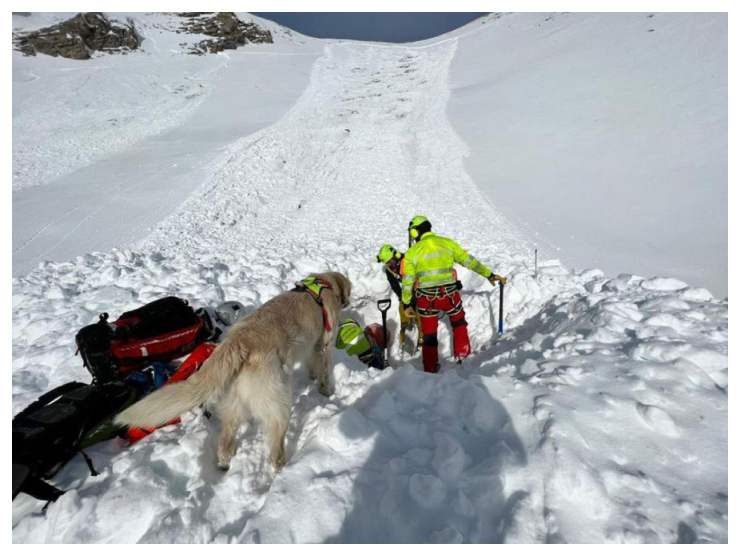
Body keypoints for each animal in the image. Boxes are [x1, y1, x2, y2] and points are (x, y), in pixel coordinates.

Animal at [115, 272, 352, 472]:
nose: (348, 302)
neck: (324, 284)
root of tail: (238, 342)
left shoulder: (313, 348)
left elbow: (313, 364)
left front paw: (314, 378)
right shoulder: (325, 344)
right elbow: (325, 369)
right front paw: (327, 390)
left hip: (235, 403)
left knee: (225, 441)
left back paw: (224, 464)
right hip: (278, 403)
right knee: (275, 445)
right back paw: (281, 469)